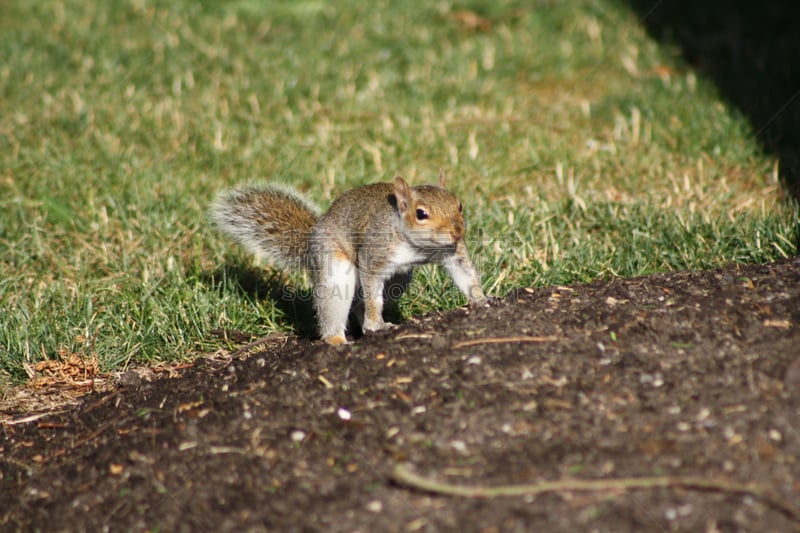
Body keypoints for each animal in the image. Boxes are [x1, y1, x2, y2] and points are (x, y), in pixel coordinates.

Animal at [212, 172, 484, 342]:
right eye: (421, 214)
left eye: (459, 205)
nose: (457, 231)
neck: (417, 245)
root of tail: (311, 243)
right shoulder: (375, 254)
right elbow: (373, 290)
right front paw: (376, 324)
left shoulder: (451, 251)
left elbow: (464, 273)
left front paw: (481, 300)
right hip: (333, 267)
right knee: (339, 302)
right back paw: (337, 340)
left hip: (399, 280)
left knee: (359, 303)